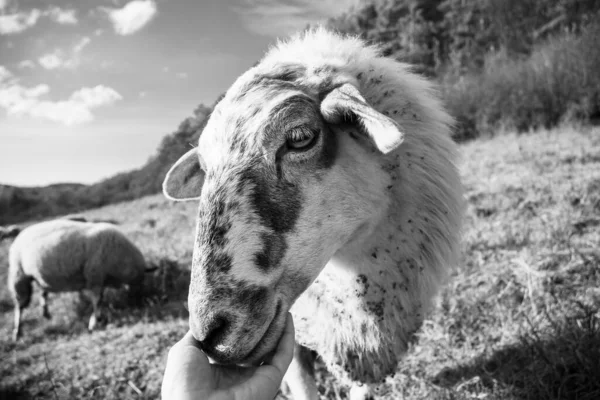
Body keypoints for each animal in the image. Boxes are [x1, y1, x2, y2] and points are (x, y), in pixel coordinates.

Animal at [7, 219, 150, 340]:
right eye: (140, 282)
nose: (140, 303)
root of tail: (21, 234)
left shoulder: (99, 279)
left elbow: (100, 300)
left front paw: (97, 320)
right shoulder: (95, 278)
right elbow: (97, 301)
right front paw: (94, 322)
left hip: (39, 278)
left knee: (43, 293)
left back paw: (46, 314)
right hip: (19, 274)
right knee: (20, 306)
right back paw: (17, 332)